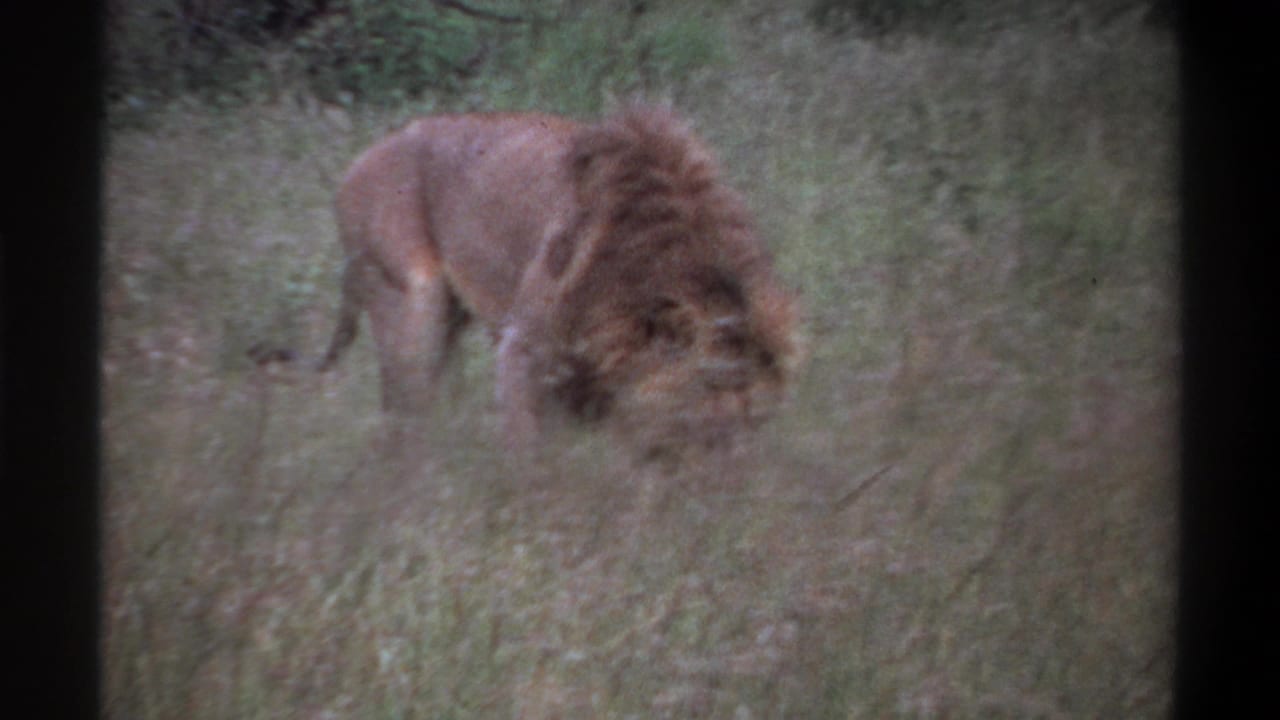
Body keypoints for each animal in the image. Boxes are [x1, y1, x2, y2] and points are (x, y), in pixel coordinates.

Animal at [318, 105, 801, 452]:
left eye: (757, 423)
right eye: (699, 425)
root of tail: (355, 164)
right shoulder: (523, 352)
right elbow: (533, 464)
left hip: (449, 321)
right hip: (408, 302)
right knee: (402, 420)